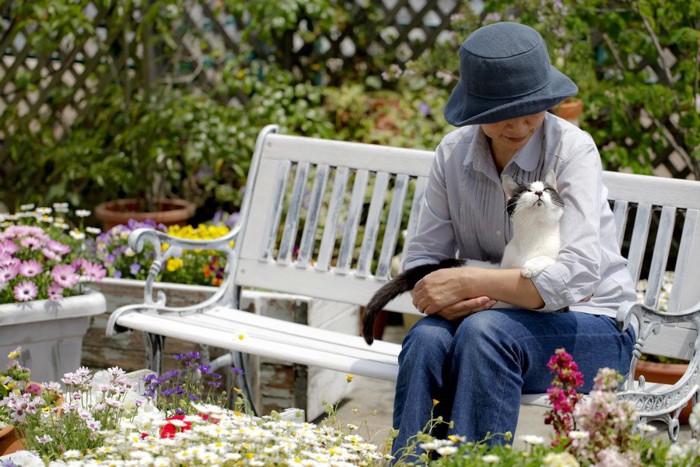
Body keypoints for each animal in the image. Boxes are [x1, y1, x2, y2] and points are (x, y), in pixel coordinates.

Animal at [360, 170, 564, 346]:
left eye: (547, 189)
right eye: (527, 191)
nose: (538, 192)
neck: (533, 236)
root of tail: (442, 264)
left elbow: (550, 259)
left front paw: (530, 267)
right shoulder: (504, 265)